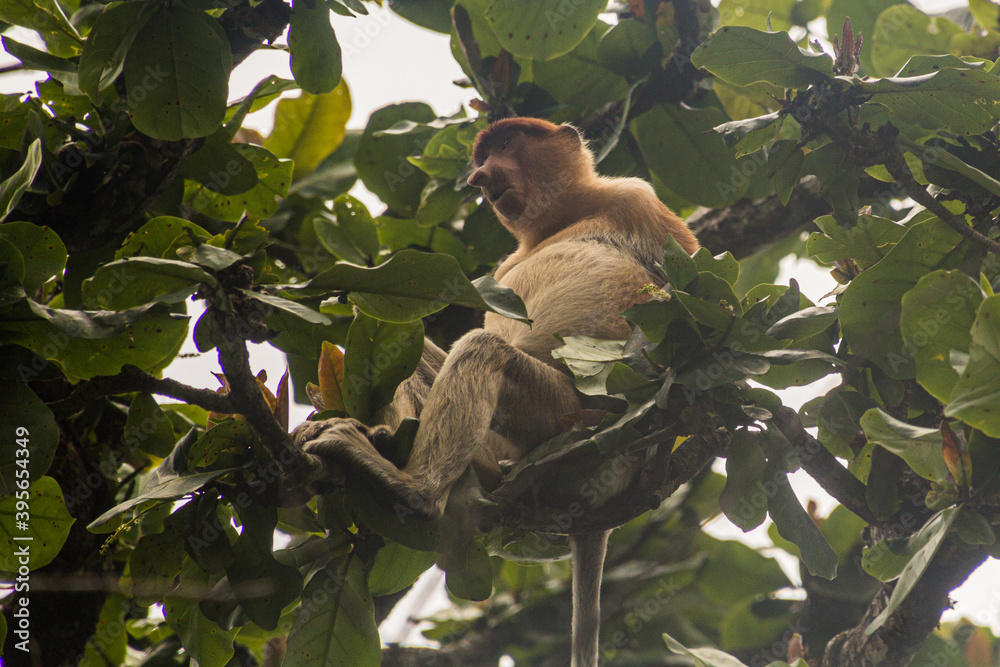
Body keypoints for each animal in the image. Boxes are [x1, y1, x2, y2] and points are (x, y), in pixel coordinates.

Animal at [293, 117, 699, 666]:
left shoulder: (638, 200)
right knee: (408, 339)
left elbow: (699, 285)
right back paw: (380, 441)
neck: (559, 220)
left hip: (572, 419)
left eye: (505, 144)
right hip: (505, 452)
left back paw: (412, 488)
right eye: (480, 159)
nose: (480, 178)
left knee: (485, 351)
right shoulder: (504, 267)